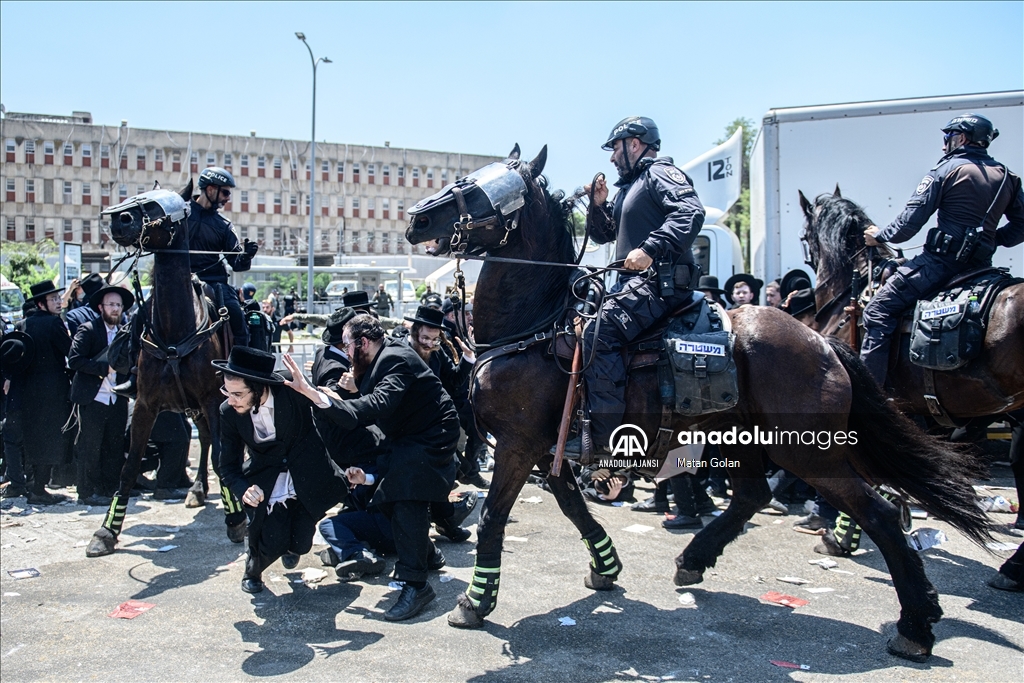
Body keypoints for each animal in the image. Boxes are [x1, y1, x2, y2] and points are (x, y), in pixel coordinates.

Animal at [85, 184, 241, 557]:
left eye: (159, 206)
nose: (119, 219)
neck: (174, 329)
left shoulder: (214, 400)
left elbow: (223, 458)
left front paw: (236, 519)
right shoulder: (145, 404)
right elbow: (128, 466)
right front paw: (106, 531)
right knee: (207, 440)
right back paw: (197, 489)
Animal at [405, 145, 991, 663]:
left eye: (479, 188)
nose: (416, 219)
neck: (539, 326)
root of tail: (822, 343)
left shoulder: (518, 444)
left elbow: (494, 517)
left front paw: (475, 601)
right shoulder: (550, 447)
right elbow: (572, 505)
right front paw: (606, 566)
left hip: (808, 451)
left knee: (879, 514)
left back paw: (916, 624)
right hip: (741, 437)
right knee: (752, 495)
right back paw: (694, 559)